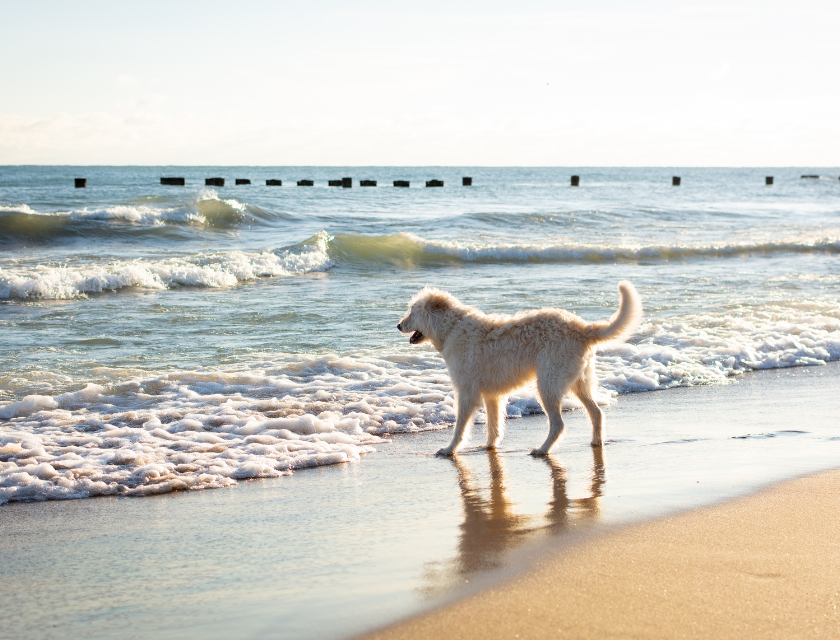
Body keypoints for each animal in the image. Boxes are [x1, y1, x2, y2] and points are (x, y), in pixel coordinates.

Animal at [398, 280, 640, 456]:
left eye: (412, 311)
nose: (398, 325)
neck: (451, 327)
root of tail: (582, 328)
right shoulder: (492, 396)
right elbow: (493, 426)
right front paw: (489, 447)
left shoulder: (466, 393)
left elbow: (460, 428)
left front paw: (449, 450)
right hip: (578, 383)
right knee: (596, 413)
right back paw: (596, 442)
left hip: (547, 385)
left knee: (558, 425)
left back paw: (542, 450)